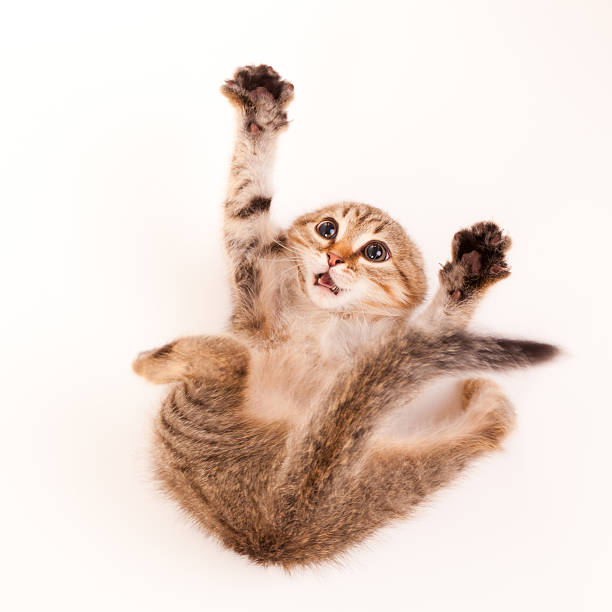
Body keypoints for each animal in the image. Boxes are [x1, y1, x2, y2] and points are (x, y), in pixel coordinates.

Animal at [135, 64, 560, 568]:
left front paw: (468, 276)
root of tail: (279, 526)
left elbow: (441, 323)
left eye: (376, 252)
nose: (334, 257)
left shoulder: (384, 348)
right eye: (327, 229)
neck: (323, 324)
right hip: (382, 470)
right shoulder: (254, 284)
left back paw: (154, 360)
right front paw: (259, 113)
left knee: (230, 360)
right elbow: (247, 201)